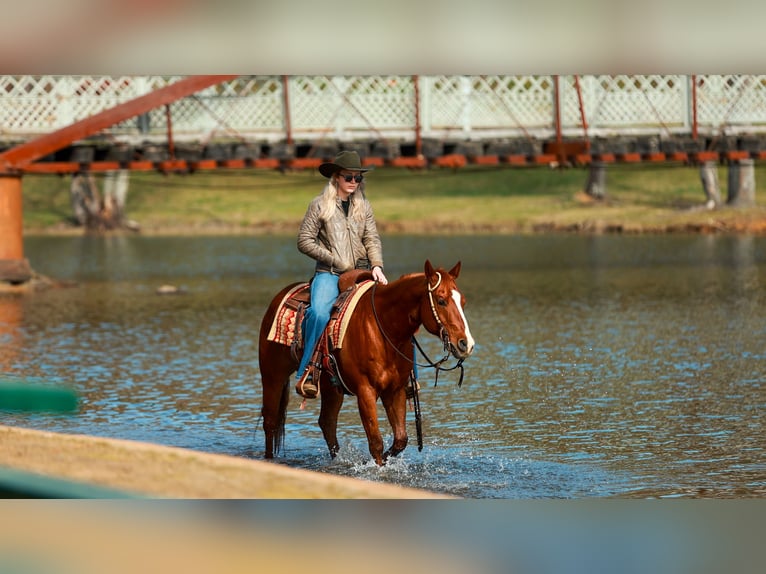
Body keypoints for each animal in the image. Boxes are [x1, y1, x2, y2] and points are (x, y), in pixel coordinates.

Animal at [258, 260, 475, 466]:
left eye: (463, 301)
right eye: (441, 300)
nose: (466, 343)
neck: (384, 328)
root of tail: (282, 295)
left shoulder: (395, 390)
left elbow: (401, 439)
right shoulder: (366, 392)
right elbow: (376, 442)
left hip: (330, 386)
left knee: (327, 423)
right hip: (273, 376)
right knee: (270, 422)